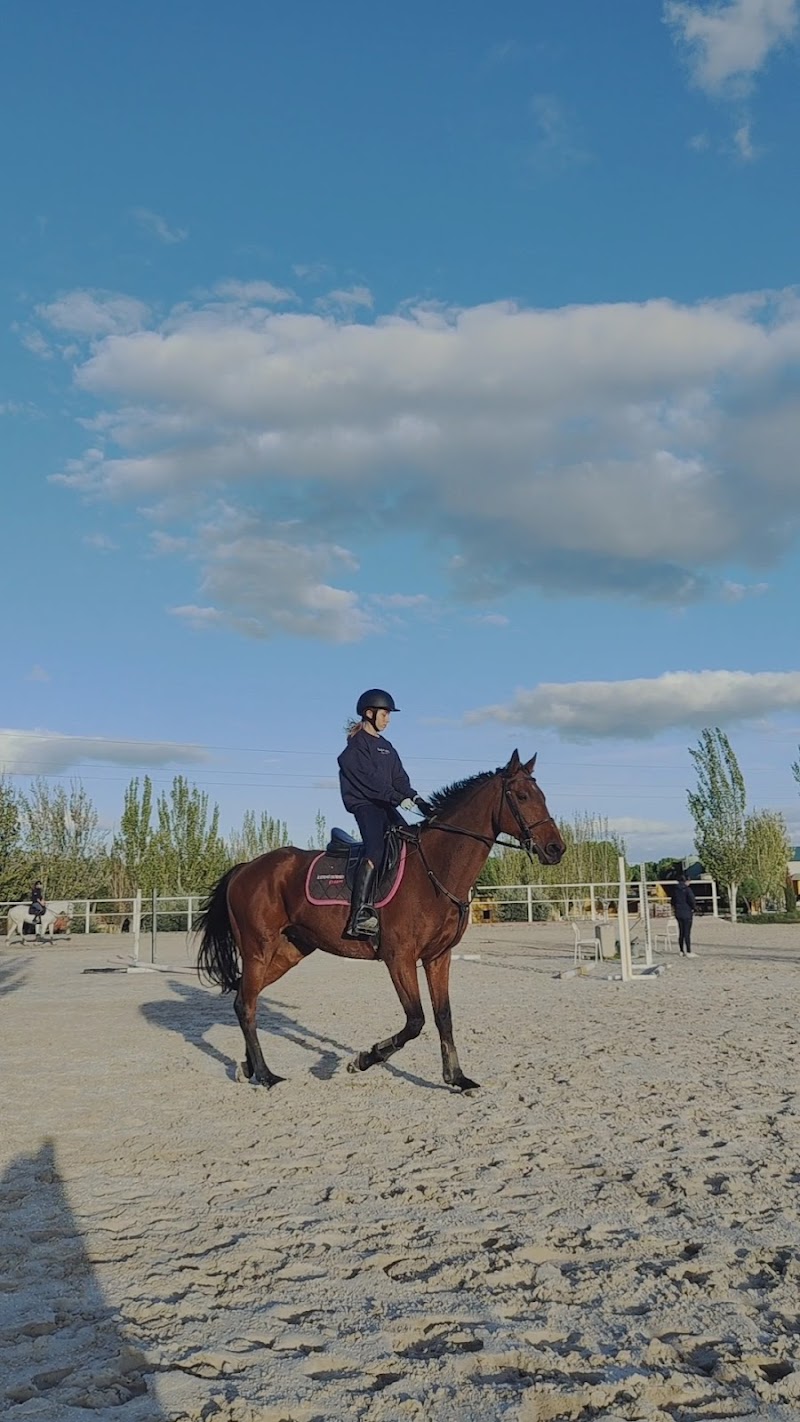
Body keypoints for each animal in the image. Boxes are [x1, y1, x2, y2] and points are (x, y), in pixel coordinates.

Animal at [197, 750, 565, 1093]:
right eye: (521, 796)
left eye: (542, 796)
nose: (556, 849)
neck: (435, 868)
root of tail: (245, 868)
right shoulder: (399, 958)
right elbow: (415, 1020)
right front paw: (362, 1060)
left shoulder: (438, 957)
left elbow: (443, 1016)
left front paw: (457, 1078)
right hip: (259, 950)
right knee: (246, 1004)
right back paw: (265, 1074)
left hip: (288, 952)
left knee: (245, 997)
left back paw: (249, 1067)